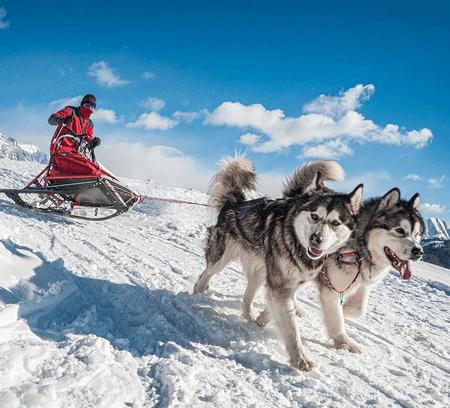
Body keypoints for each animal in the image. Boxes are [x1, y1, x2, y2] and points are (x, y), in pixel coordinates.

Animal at [192, 157, 362, 370]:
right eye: (314, 216)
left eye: (336, 223)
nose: (316, 239)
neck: (296, 242)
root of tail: (235, 203)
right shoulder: (280, 286)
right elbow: (291, 328)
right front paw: (300, 359)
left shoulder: (290, 284)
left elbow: (279, 310)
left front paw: (263, 319)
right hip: (221, 257)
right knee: (206, 273)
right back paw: (198, 292)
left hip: (259, 273)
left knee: (247, 297)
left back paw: (249, 316)